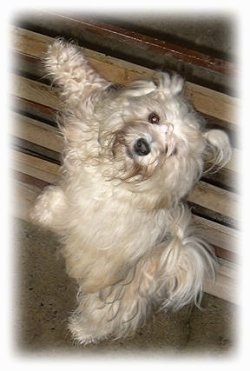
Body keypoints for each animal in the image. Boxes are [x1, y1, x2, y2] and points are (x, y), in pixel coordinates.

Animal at [31, 40, 232, 346]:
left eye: (172, 149)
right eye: (153, 117)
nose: (142, 146)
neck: (119, 164)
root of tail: (159, 269)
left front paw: (44, 208)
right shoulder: (93, 113)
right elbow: (86, 83)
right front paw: (62, 54)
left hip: (105, 301)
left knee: (102, 320)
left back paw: (81, 331)